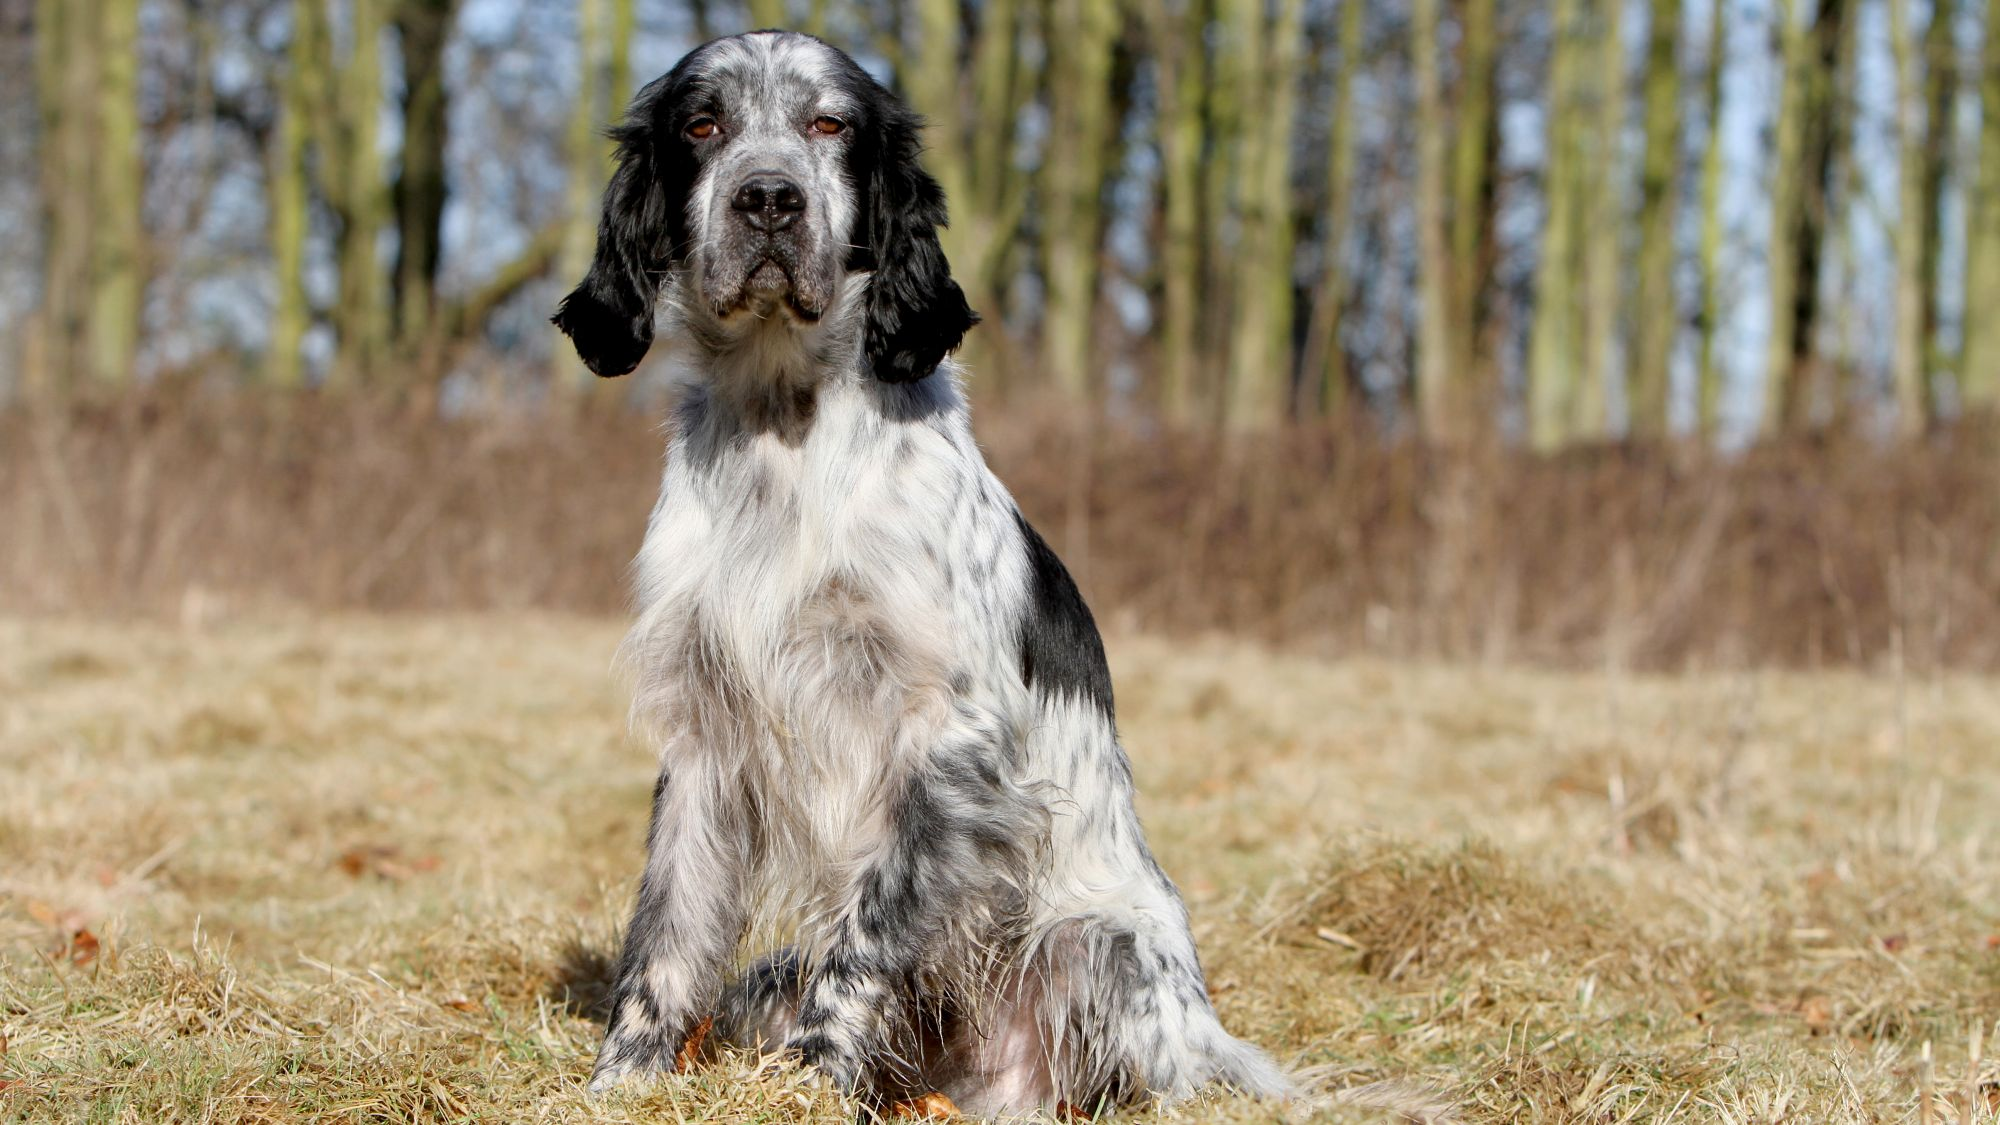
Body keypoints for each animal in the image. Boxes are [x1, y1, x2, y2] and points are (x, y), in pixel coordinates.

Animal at [556, 30, 1288, 1112]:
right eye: (703, 124)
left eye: (829, 123)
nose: (768, 199)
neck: (784, 424)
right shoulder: (704, 733)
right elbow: (667, 933)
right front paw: (623, 1081)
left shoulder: (944, 739)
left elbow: (867, 935)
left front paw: (808, 1087)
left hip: (1102, 946)